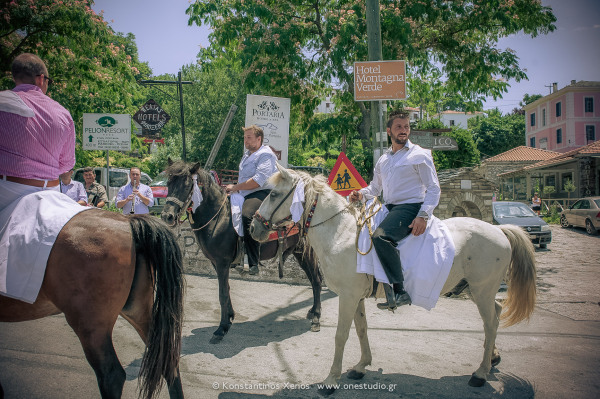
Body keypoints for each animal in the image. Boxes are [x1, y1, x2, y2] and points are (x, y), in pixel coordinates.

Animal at [157, 159, 322, 344]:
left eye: (186, 185)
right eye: (169, 183)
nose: (167, 216)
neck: (217, 218)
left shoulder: (222, 262)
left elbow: (222, 293)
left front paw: (221, 329)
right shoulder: (215, 263)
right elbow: (227, 290)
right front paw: (229, 318)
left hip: (307, 253)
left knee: (316, 280)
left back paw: (316, 318)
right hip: (299, 253)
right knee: (314, 279)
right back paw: (312, 312)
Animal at [251, 166, 536, 394]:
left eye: (273, 194)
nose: (254, 227)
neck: (341, 234)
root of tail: (498, 229)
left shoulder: (347, 296)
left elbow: (341, 336)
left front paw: (331, 380)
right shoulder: (356, 297)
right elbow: (362, 329)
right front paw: (361, 366)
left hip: (482, 290)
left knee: (491, 323)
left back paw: (480, 373)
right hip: (480, 292)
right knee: (496, 314)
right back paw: (493, 359)